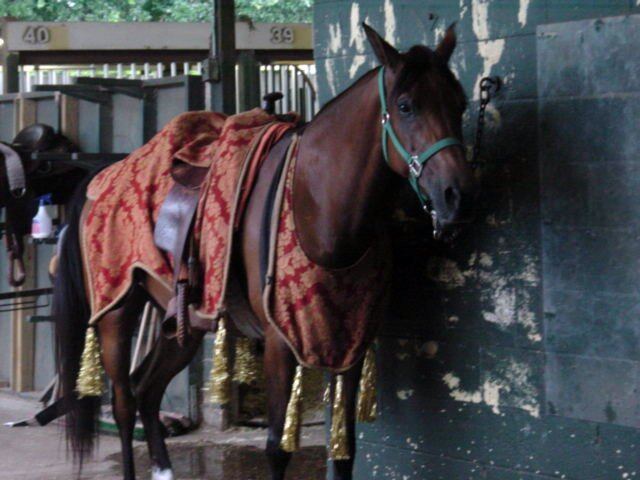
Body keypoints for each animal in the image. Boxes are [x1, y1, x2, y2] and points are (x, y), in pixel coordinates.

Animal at [53, 23, 477, 480]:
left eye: (460, 103)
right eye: (405, 106)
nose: (458, 196)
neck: (317, 206)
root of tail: (101, 176)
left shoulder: (349, 345)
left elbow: (345, 451)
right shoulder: (279, 342)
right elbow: (277, 448)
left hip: (180, 320)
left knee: (147, 392)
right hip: (115, 311)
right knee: (124, 402)